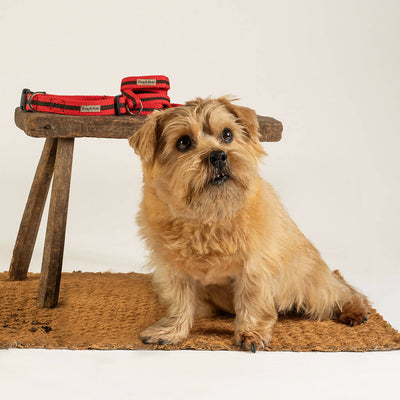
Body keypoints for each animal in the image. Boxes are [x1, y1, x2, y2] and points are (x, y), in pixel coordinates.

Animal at [129, 97, 368, 354]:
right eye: (183, 143)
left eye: (227, 134)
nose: (218, 156)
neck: (210, 213)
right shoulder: (173, 269)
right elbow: (179, 302)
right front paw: (171, 331)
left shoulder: (255, 266)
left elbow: (252, 300)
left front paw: (250, 333)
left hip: (311, 287)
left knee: (342, 291)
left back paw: (356, 311)